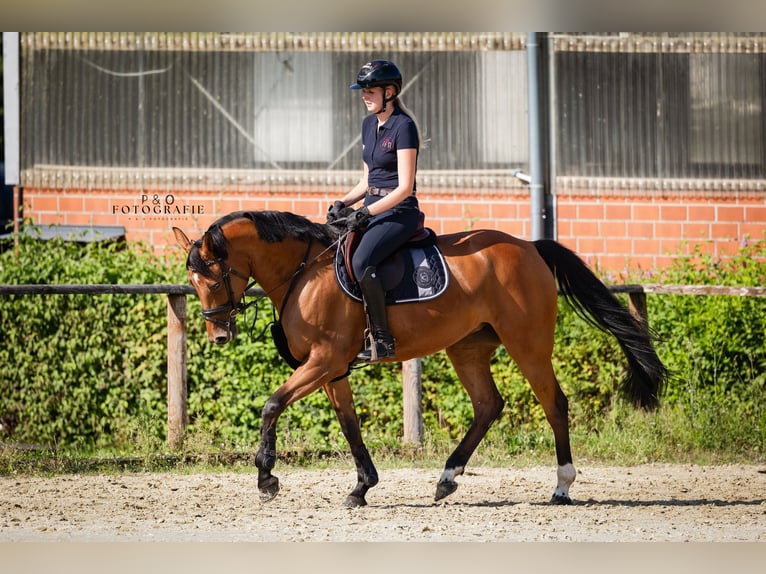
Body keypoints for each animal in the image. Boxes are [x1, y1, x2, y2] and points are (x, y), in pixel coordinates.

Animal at [172, 210, 664, 508]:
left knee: (553, 403)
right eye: (192, 283)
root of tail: (528, 246)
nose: (218, 334)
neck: (305, 273)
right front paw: (361, 487)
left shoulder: (323, 361)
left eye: (212, 280)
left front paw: (266, 480)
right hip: (467, 347)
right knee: (488, 405)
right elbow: (350, 425)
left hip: (527, 343)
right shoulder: (331, 370)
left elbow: (272, 405)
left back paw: (561, 485)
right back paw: (447, 477)